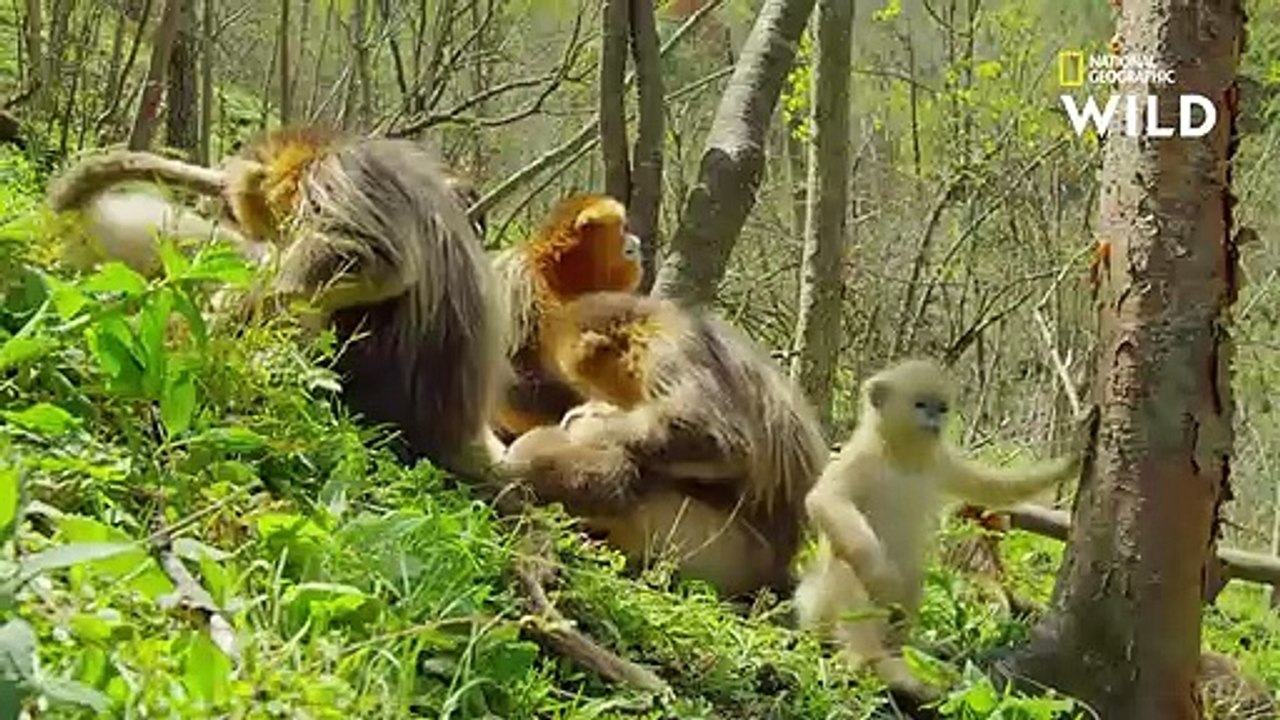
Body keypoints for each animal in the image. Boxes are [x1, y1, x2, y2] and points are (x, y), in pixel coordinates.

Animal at [794, 359, 1079, 702]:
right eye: (920, 404)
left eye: (941, 407)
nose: (934, 418)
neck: (903, 457)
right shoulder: (859, 458)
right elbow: (824, 499)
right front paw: (882, 576)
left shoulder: (941, 462)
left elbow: (990, 487)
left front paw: (1075, 458)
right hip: (822, 606)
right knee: (847, 569)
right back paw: (873, 660)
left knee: (911, 579)